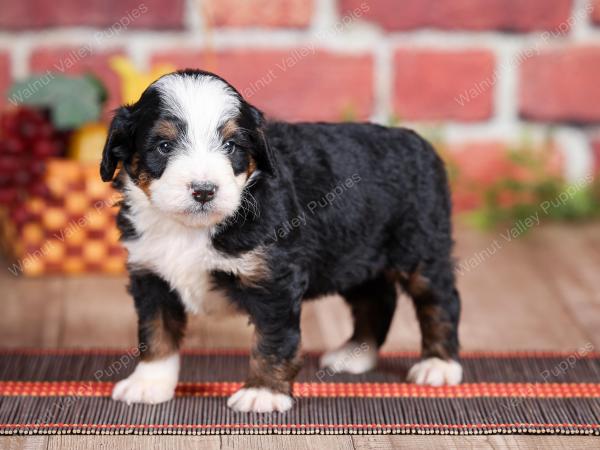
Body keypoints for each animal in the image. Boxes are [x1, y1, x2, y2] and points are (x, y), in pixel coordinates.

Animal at [101, 69, 462, 412]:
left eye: (231, 146)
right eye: (164, 146)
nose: (204, 191)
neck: (191, 228)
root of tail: (418, 141)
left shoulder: (273, 279)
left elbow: (272, 340)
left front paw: (263, 392)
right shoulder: (151, 275)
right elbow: (156, 332)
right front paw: (149, 383)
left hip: (421, 247)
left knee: (440, 301)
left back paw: (438, 364)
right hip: (354, 254)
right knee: (376, 298)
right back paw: (356, 353)